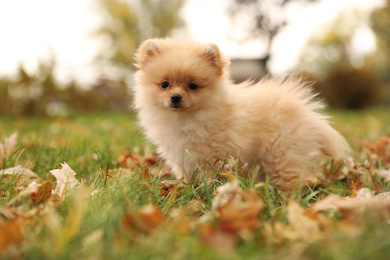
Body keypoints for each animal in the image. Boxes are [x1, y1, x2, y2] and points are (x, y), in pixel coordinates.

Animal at [133, 38, 348, 192]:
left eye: (192, 86)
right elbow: (186, 175)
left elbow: (210, 176)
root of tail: (307, 113)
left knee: (291, 179)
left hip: (281, 155)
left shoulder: (213, 155)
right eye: (164, 84)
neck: (185, 119)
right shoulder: (181, 155)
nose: (176, 97)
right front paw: (187, 188)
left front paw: (207, 191)